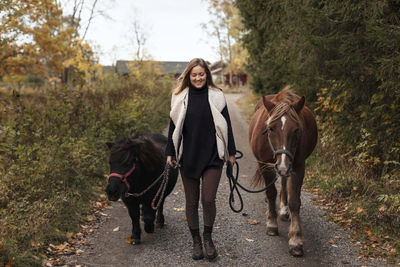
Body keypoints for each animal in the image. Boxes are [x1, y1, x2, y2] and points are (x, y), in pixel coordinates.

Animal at [248, 87, 318, 256]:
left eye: (296, 130)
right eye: (271, 128)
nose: (282, 165)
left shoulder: (298, 166)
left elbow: (294, 201)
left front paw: (296, 239)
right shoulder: (265, 165)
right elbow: (271, 192)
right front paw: (271, 224)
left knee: (285, 182)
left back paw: (284, 209)